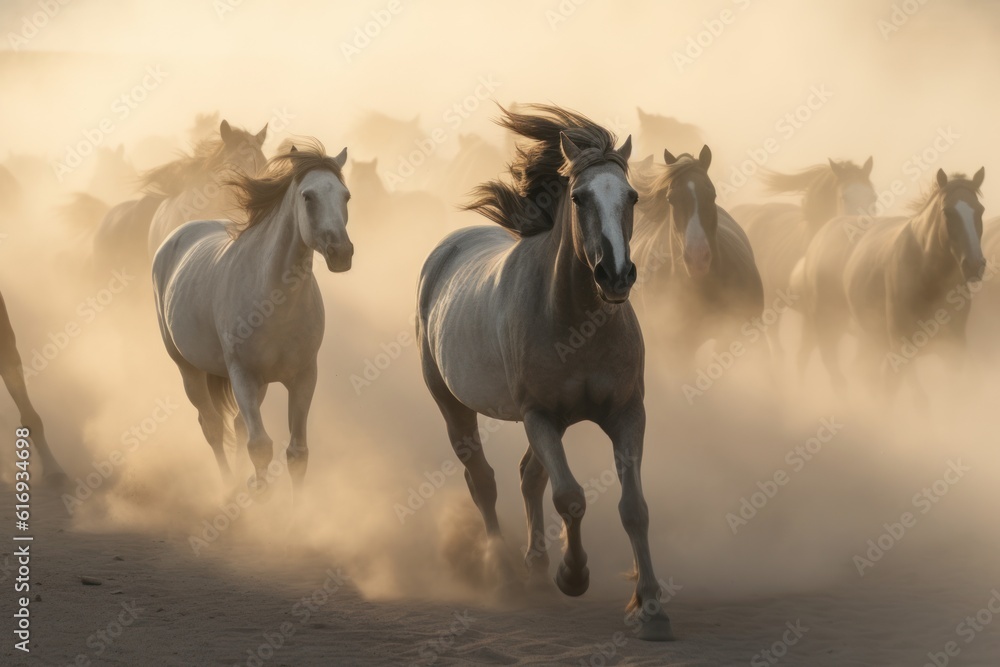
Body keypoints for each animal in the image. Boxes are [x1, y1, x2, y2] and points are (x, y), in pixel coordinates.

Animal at [150, 141, 350, 498]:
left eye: (346, 196)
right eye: (308, 196)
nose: (342, 252)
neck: (274, 302)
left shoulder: (303, 377)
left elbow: (297, 452)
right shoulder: (243, 375)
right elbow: (260, 446)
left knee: (237, 425)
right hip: (189, 369)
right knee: (213, 426)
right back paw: (229, 486)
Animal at [414, 105, 672, 640]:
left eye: (632, 196)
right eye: (579, 197)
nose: (616, 276)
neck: (578, 322)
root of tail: (446, 251)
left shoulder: (627, 414)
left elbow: (634, 508)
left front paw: (652, 607)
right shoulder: (539, 416)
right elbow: (570, 498)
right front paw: (573, 575)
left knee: (528, 476)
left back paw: (533, 566)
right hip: (452, 406)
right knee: (484, 481)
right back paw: (508, 576)